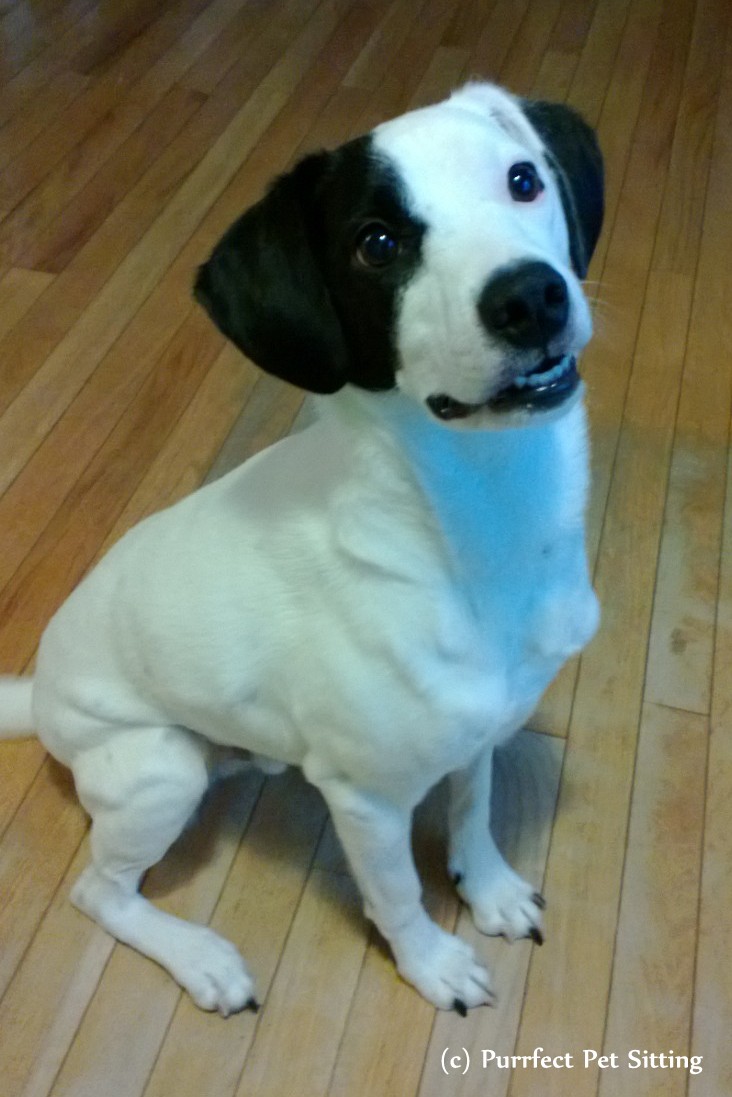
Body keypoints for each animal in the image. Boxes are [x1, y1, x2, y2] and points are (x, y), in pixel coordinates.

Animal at [1, 85, 601, 1018]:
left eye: (523, 179)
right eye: (376, 244)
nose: (531, 296)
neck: (484, 513)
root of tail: (41, 695)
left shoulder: (478, 733)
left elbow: (474, 808)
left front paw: (490, 885)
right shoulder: (367, 801)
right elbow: (396, 894)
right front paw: (431, 962)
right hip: (157, 766)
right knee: (100, 891)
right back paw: (200, 956)